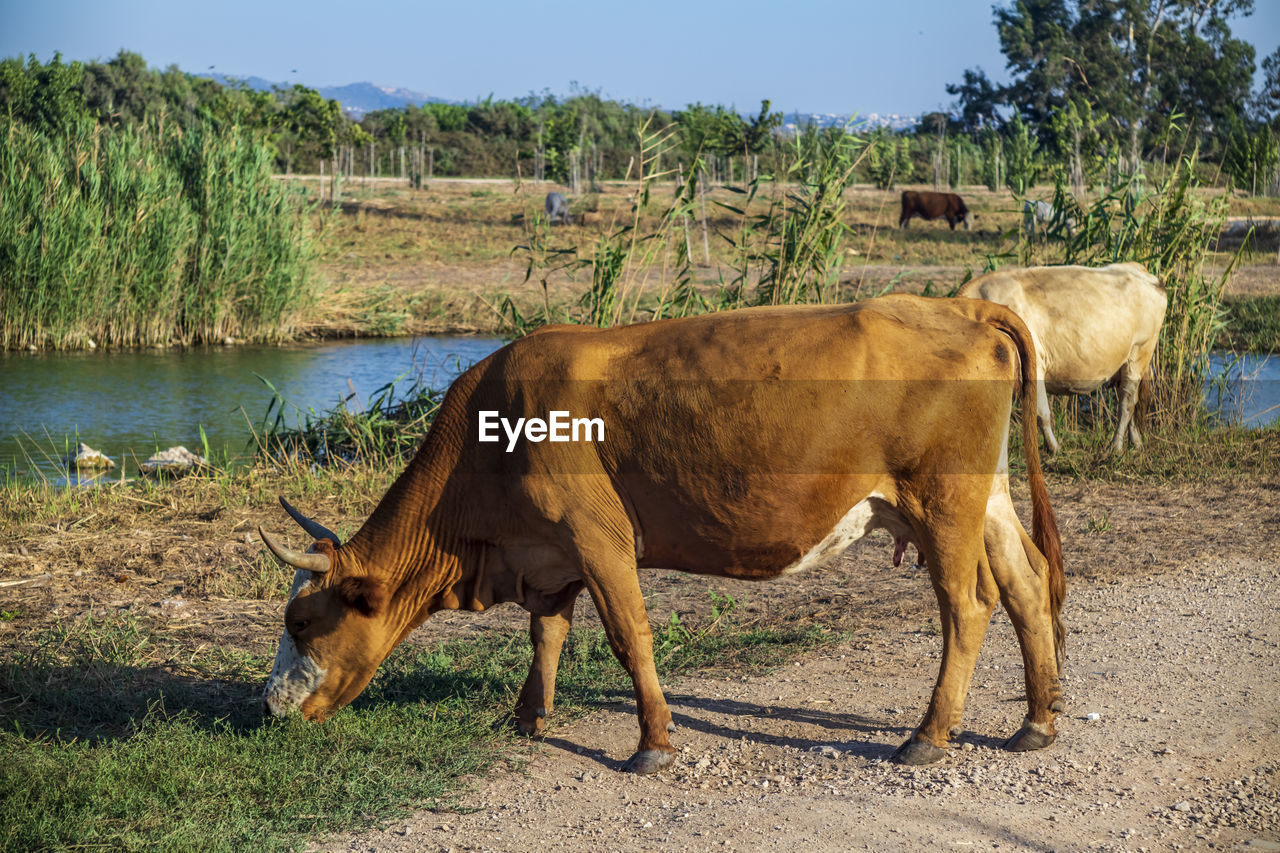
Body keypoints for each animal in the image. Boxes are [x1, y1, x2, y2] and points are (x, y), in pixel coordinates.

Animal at [254, 295, 1064, 773]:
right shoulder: (549, 552)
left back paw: (928, 735)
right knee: (1026, 586)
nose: (265, 709)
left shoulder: (598, 536)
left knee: (967, 605)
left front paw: (653, 743)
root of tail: (961, 304)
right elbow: (547, 634)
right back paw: (1037, 721)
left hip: (942, 501)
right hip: (985, 497)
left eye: (300, 622)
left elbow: (628, 636)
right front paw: (528, 717)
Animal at [962, 262, 1172, 455]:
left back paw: (1116, 446)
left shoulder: (1035, 366)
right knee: (1132, 400)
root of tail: (1140, 270)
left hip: (1139, 353)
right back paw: (1135, 442)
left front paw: (1053, 448)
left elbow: (1041, 413)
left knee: (1127, 402)